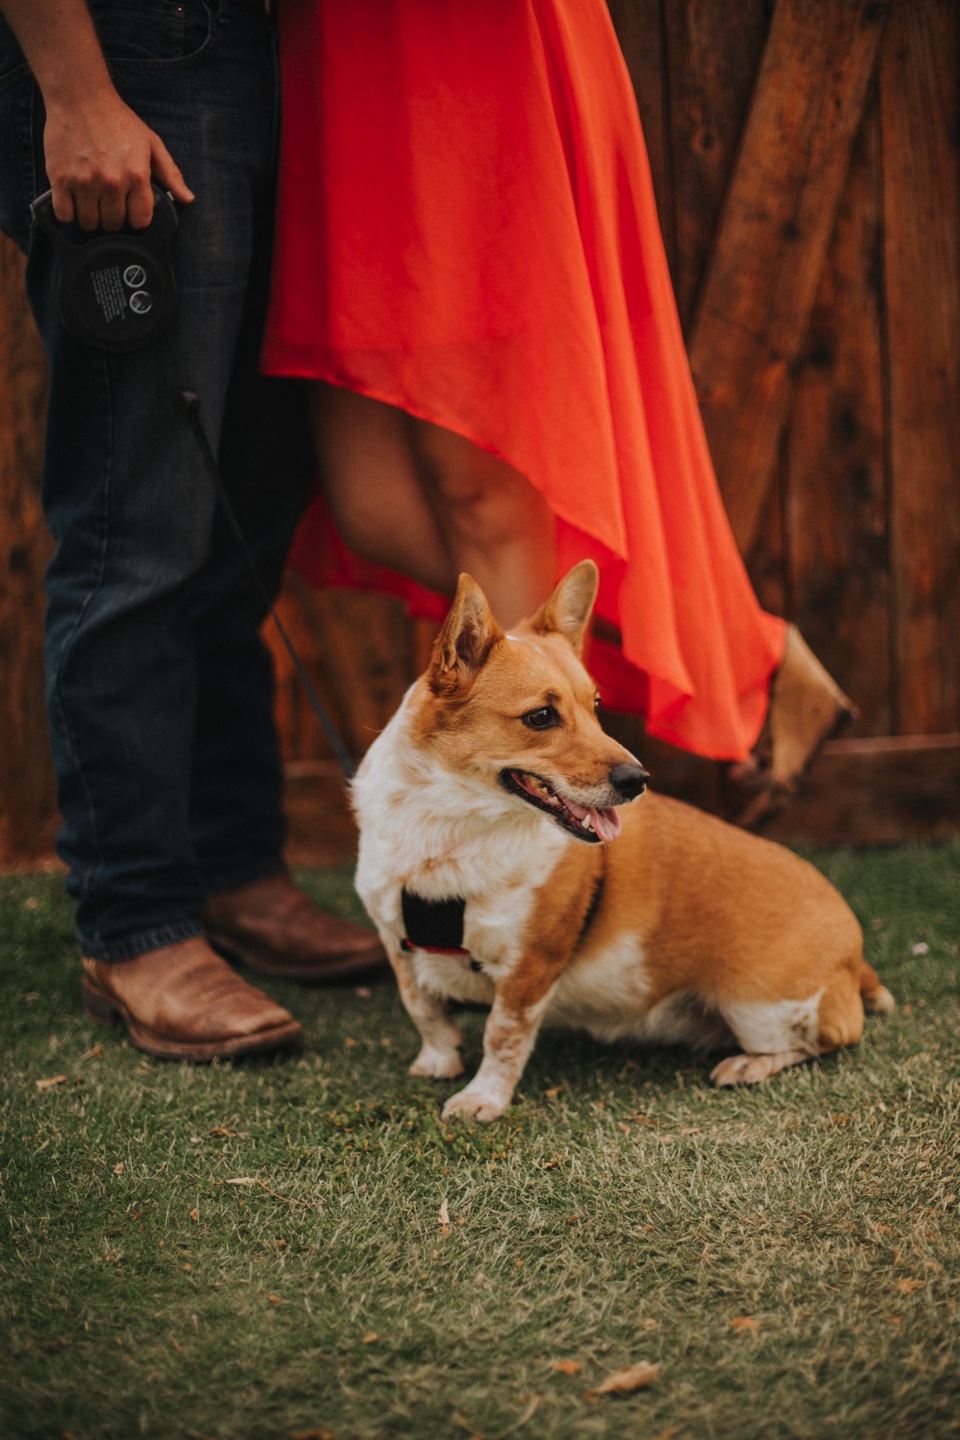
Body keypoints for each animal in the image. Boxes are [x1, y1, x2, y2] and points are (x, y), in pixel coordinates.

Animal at [351, 555, 892, 1117]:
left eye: (595, 705)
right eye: (540, 716)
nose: (638, 780)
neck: (449, 825)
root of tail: (855, 955)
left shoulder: (529, 968)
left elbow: (502, 1036)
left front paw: (483, 1098)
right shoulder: (396, 943)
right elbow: (424, 1010)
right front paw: (439, 1061)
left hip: (758, 1007)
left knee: (825, 1039)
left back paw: (748, 1065)